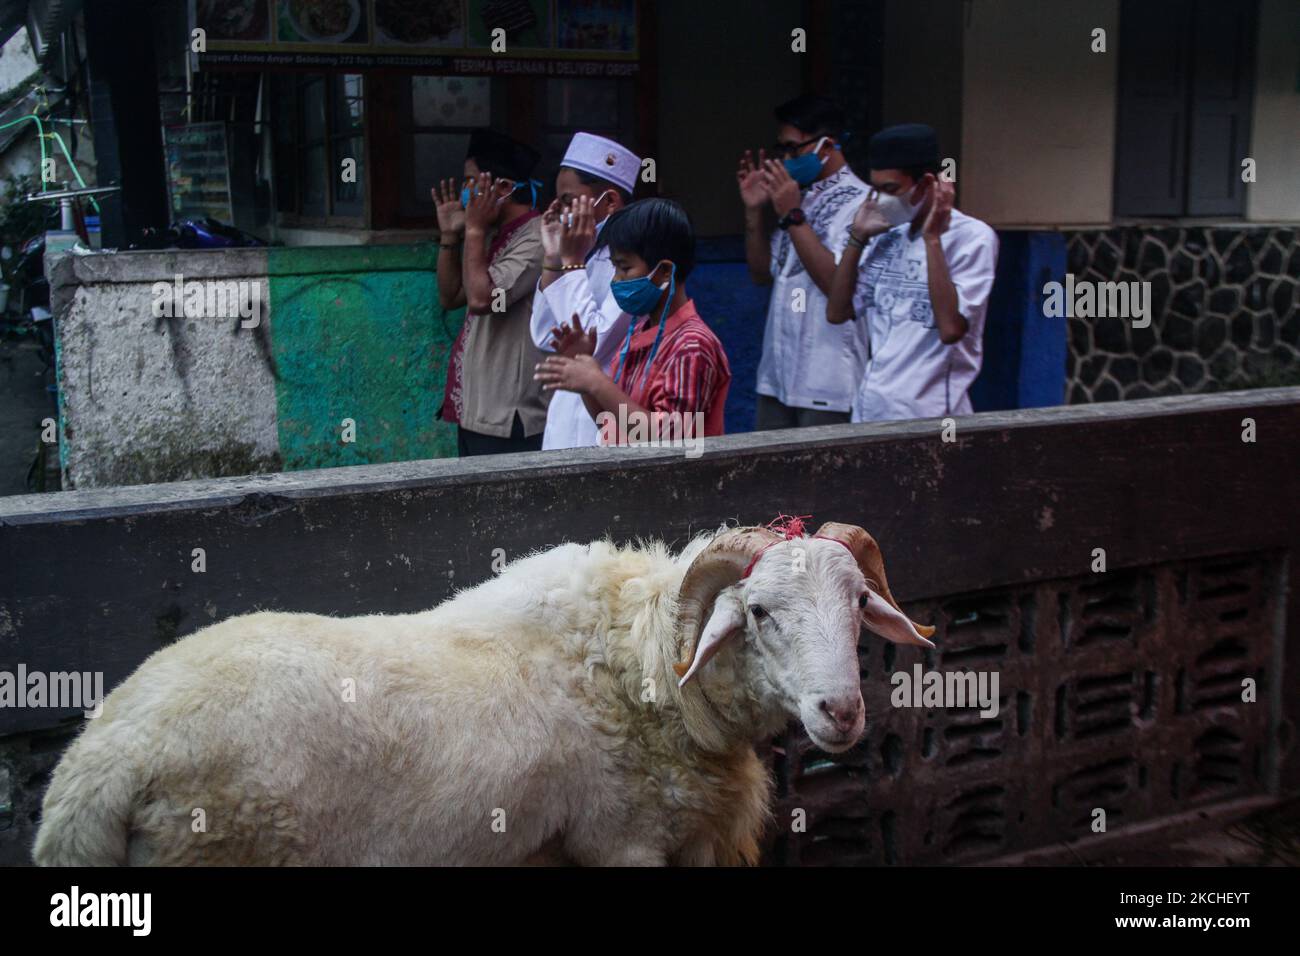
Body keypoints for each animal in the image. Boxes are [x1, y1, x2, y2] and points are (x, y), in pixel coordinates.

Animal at [32, 522, 935, 868]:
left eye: (859, 601)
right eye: (758, 613)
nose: (843, 711)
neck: (640, 670)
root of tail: (96, 767)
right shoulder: (621, 841)